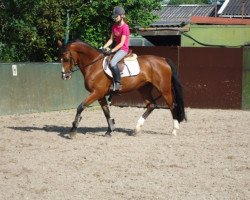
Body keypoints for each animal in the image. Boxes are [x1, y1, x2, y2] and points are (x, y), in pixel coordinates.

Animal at [57, 39, 185, 138]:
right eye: (60, 58)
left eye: (66, 58)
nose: (64, 76)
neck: (94, 65)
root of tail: (163, 59)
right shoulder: (100, 95)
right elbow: (106, 112)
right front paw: (109, 130)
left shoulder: (96, 93)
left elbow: (80, 107)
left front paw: (73, 130)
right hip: (144, 88)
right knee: (152, 105)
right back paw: (136, 129)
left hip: (164, 89)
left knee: (172, 106)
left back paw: (174, 130)